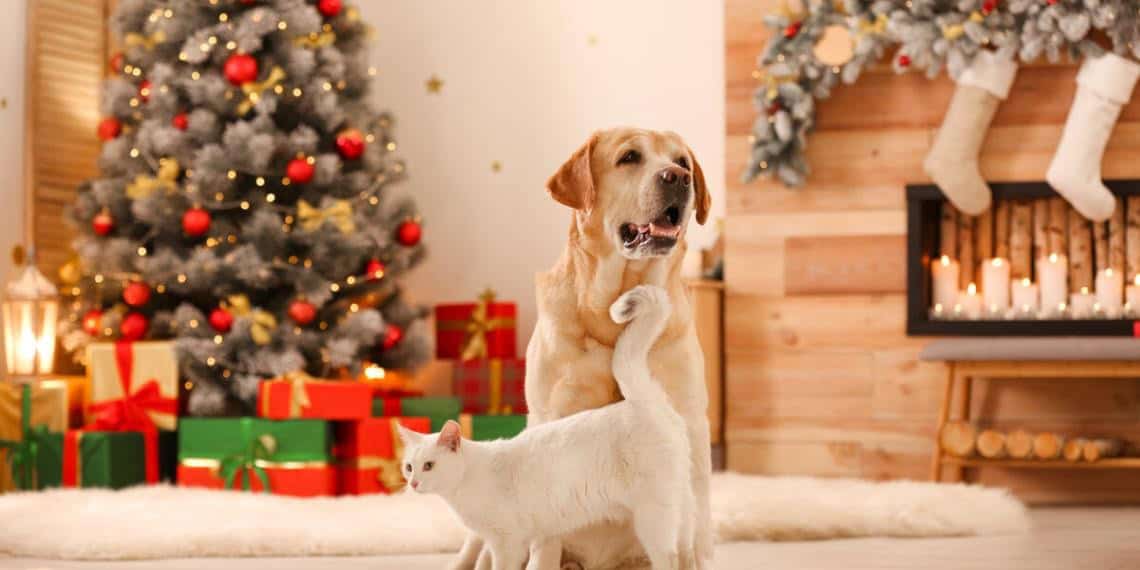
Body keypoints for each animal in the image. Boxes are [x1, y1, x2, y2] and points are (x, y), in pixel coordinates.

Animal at [396, 287, 697, 570]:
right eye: (409, 467)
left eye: (429, 466)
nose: (413, 482)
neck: (466, 482)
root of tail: (644, 401)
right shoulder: (511, 540)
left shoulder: (507, 543)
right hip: (680, 507)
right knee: (687, 552)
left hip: (653, 516)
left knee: (669, 558)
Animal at [453, 127, 711, 567]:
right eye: (629, 157)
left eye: (682, 161)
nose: (679, 178)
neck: (612, 325)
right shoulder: (550, 417)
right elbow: (544, 541)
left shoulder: (692, 421)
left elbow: (697, 536)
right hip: (479, 543)